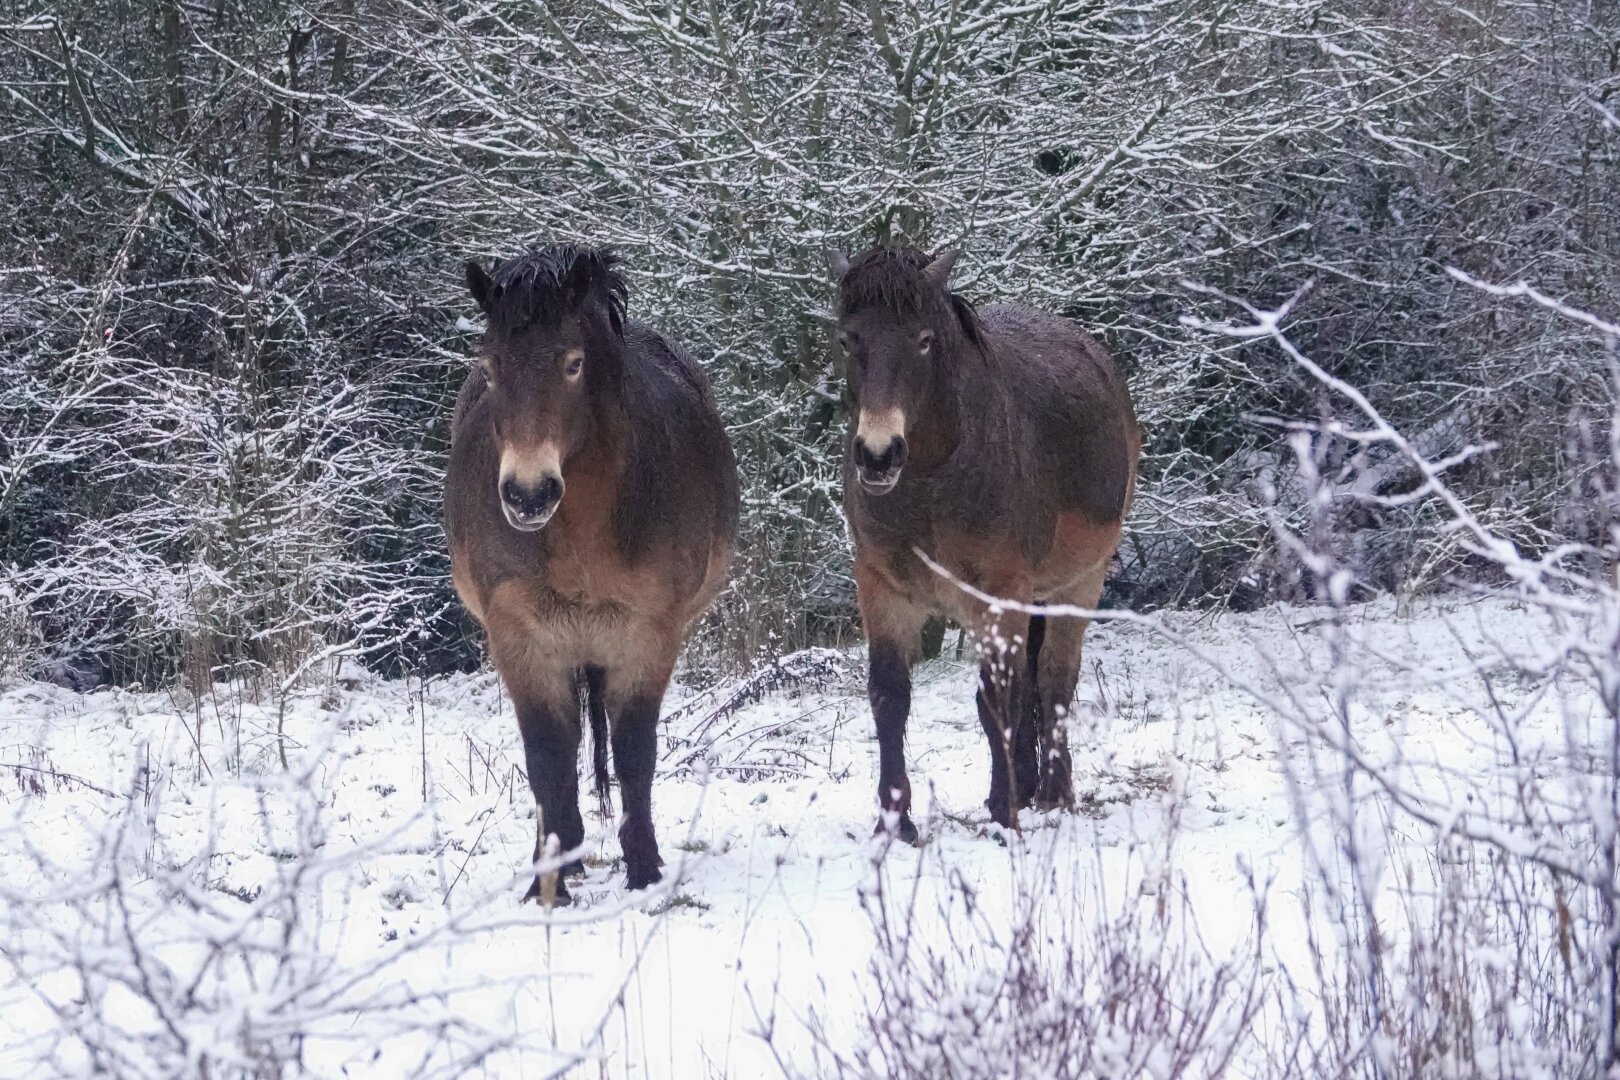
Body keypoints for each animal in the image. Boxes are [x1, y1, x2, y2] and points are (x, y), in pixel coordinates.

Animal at [450, 247, 741, 906]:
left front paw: (645, 869)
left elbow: (635, 753)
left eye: (573, 363)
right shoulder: (521, 639)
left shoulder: (648, 635)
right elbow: (547, 760)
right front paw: (550, 881)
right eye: (490, 366)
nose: (527, 494)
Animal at [822, 244, 1140, 835]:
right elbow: (889, 698)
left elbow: (998, 699)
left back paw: (1054, 794)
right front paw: (895, 824)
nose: (878, 455)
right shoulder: (881, 588)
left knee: (1055, 681)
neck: (932, 481)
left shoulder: (998, 593)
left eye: (924, 340)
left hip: (1079, 582)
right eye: (848, 340)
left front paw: (1003, 809)